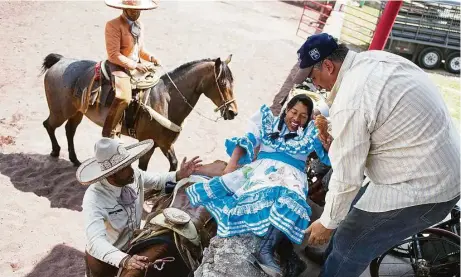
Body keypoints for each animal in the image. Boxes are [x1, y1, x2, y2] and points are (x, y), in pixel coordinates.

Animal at [40, 54, 237, 169]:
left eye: (232, 82)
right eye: (222, 83)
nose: (233, 112)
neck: (166, 100)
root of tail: (60, 60)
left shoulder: (165, 144)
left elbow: (174, 163)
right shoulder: (148, 145)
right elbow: (143, 169)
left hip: (77, 112)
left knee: (69, 130)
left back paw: (74, 159)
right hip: (60, 112)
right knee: (49, 125)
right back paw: (55, 152)